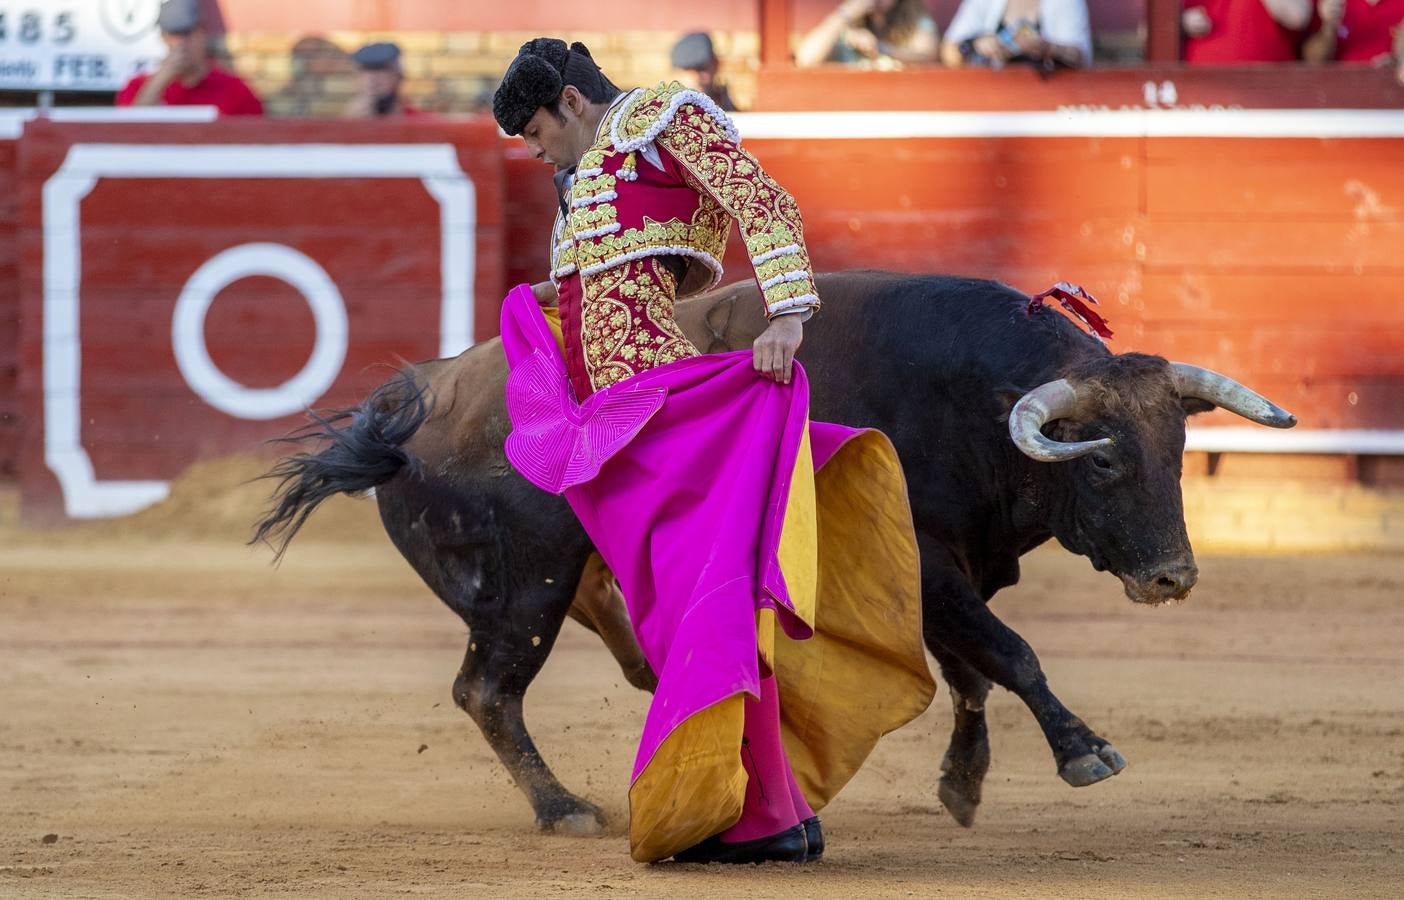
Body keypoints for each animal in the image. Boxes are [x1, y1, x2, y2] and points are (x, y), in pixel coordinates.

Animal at [255, 269, 1291, 831]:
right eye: (1104, 461)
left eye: (1178, 450)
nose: (1172, 576)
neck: (976, 403)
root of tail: (419, 401)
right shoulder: (929, 563)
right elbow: (1010, 654)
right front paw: (1085, 753)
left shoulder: (951, 570)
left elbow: (972, 671)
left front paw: (962, 784)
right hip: (525, 586)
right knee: (487, 691)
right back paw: (565, 809)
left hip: (564, 581)